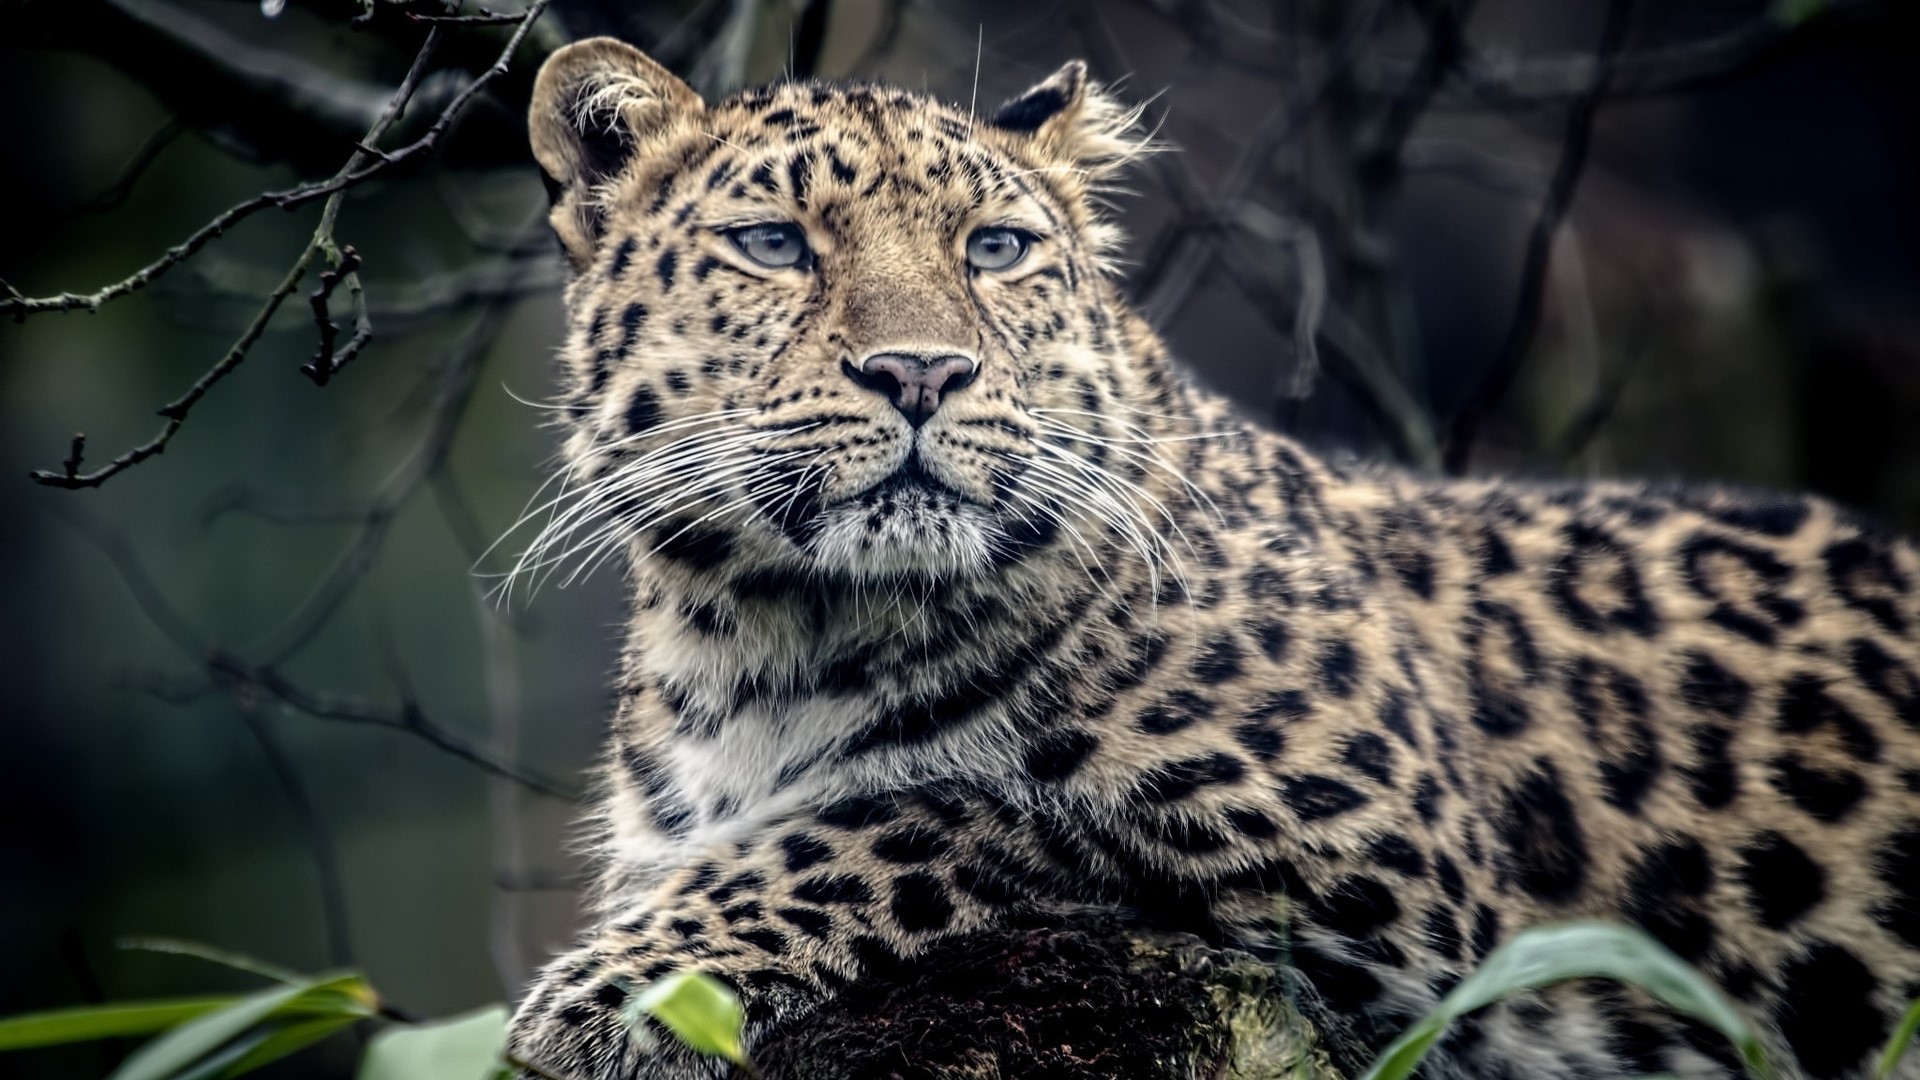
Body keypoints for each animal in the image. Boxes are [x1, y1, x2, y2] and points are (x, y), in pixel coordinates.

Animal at [506, 36, 1920, 1080]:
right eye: (775, 244)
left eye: (994, 249)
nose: (921, 372)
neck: (773, 633)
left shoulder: (1385, 866)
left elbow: (928, 810)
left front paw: (611, 992)